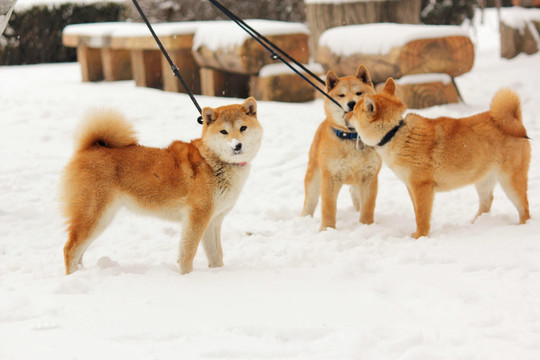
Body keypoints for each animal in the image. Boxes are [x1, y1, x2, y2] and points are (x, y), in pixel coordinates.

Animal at [61, 97, 264, 274]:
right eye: (223, 132)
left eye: (243, 128)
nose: (237, 145)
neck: (213, 161)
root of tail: (90, 148)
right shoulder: (196, 217)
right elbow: (187, 253)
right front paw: (186, 276)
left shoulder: (213, 220)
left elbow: (216, 256)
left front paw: (219, 274)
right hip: (95, 215)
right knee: (70, 249)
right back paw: (74, 276)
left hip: (102, 218)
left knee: (79, 251)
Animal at [350, 77, 532, 238]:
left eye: (354, 111)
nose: (345, 116)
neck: (395, 133)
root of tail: (516, 120)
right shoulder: (411, 187)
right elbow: (417, 213)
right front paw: (416, 234)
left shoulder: (422, 187)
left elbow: (422, 217)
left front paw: (419, 237)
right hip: (483, 181)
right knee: (486, 204)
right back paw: (475, 224)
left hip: (510, 181)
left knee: (524, 209)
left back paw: (521, 227)